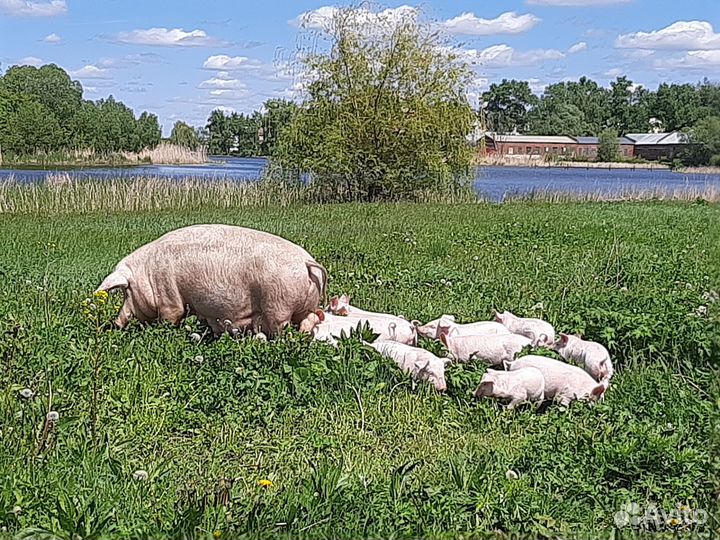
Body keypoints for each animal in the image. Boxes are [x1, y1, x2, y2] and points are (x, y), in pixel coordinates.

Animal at [95, 224, 327, 338]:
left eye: (127, 291)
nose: (116, 324)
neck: (148, 274)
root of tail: (306, 261)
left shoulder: (170, 298)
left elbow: (171, 317)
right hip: (304, 306)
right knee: (309, 320)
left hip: (278, 305)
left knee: (281, 329)